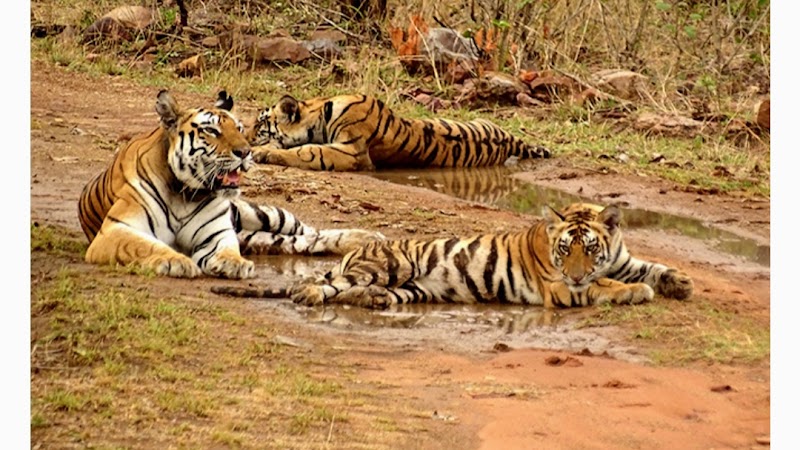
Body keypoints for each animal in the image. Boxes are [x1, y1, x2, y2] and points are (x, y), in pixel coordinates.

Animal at [78, 89, 384, 279]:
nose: (246, 152)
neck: (184, 193)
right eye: (212, 131)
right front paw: (176, 261)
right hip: (259, 235)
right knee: (300, 242)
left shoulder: (217, 233)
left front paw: (232, 264)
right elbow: (146, 246)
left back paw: (369, 238)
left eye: (237, 128)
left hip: (262, 214)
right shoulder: (116, 230)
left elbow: (225, 248)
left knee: (311, 232)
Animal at [246, 94, 551, 171]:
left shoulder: (353, 152)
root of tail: (509, 139)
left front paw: (262, 152)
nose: (245, 138)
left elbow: (307, 151)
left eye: (260, 125)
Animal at [284, 202, 693, 308]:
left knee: (355, 292)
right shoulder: (559, 287)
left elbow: (652, 267)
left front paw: (680, 282)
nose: (576, 273)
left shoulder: (624, 261)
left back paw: (372, 300)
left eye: (591, 248)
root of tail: (357, 249)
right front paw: (635, 292)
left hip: (414, 289)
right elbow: (602, 285)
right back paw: (308, 294)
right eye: (565, 250)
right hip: (390, 265)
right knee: (328, 284)